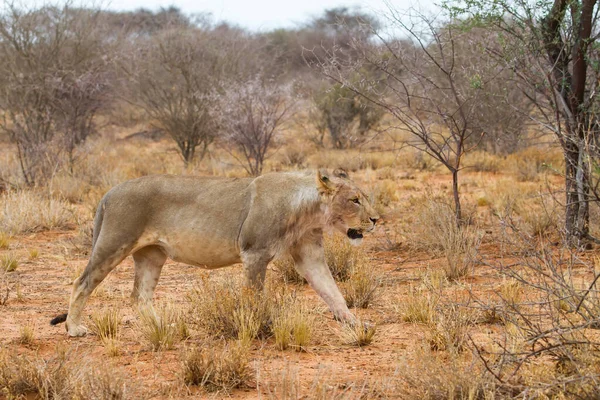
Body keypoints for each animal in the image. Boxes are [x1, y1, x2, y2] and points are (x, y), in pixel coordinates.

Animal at [50, 167, 380, 336]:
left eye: (365, 197)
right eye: (354, 200)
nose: (377, 220)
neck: (309, 210)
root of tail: (109, 192)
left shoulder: (309, 253)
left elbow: (332, 291)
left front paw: (355, 323)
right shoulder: (254, 252)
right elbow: (255, 297)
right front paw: (259, 326)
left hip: (152, 254)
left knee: (140, 296)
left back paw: (163, 326)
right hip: (114, 242)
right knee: (82, 283)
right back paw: (73, 328)